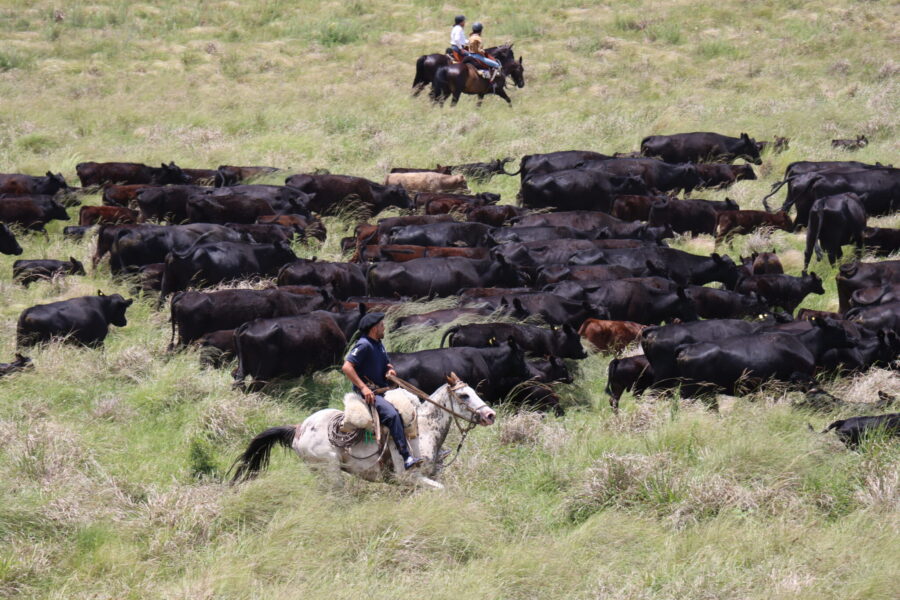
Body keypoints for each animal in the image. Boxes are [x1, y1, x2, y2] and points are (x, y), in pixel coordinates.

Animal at [230, 373, 496, 490]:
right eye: (464, 395)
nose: (490, 415)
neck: (424, 432)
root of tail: (298, 428)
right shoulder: (411, 478)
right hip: (329, 470)